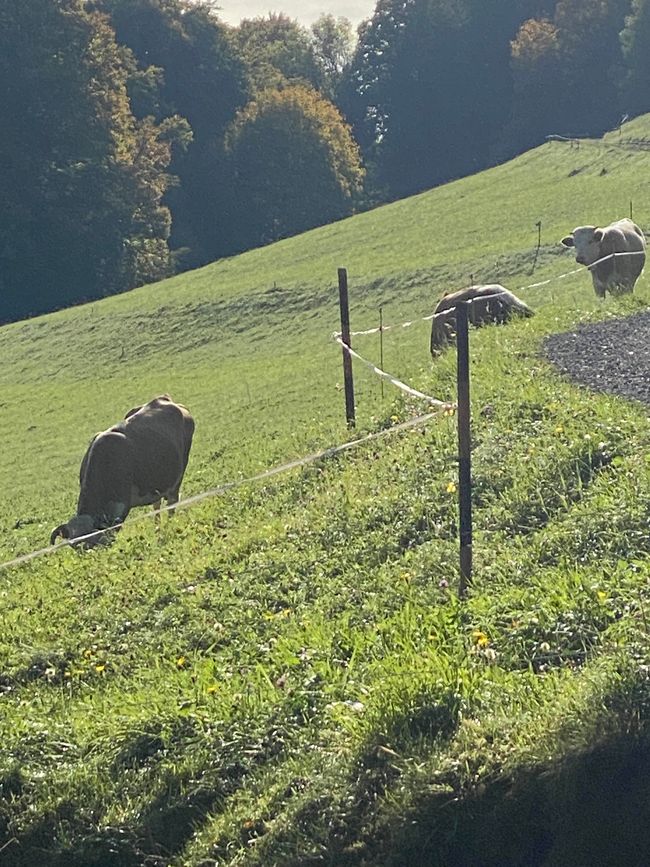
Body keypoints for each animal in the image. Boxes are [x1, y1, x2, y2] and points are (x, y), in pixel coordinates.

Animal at [50, 395, 195, 547]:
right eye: (77, 548)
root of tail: (163, 399)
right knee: (157, 505)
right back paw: (158, 529)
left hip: (178, 475)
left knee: (172, 503)